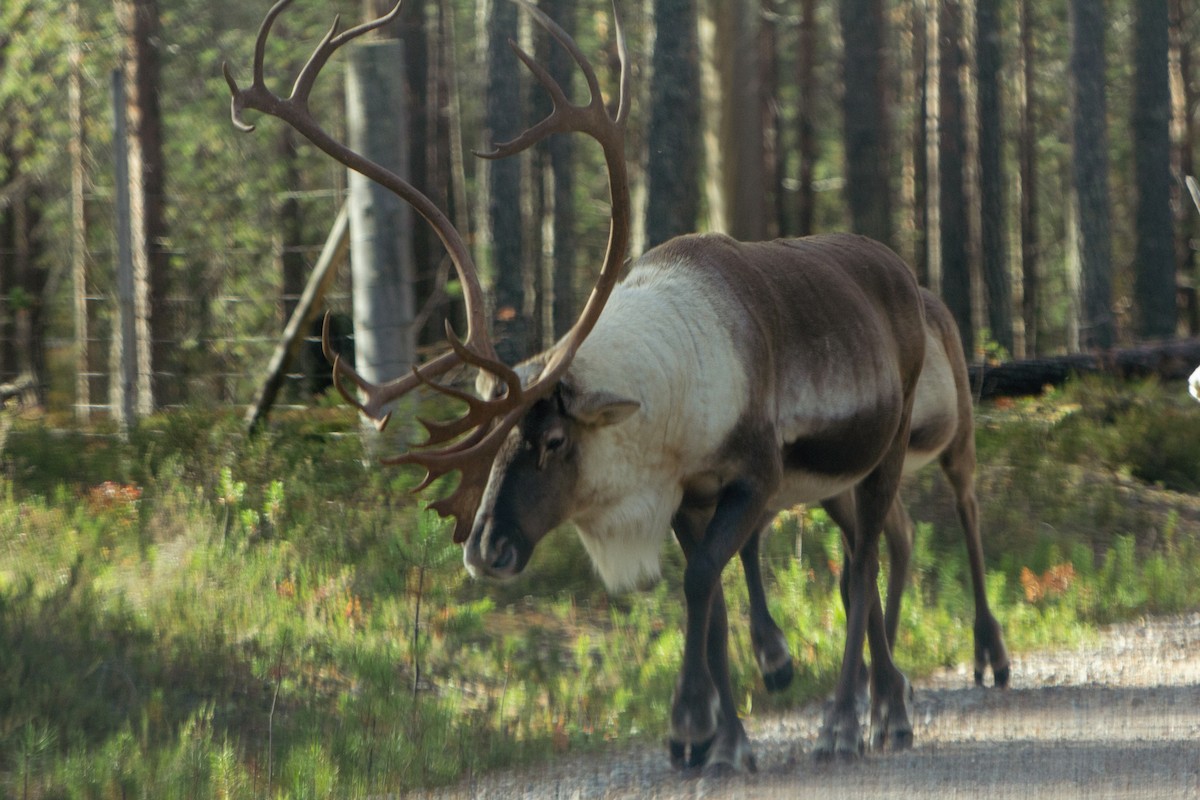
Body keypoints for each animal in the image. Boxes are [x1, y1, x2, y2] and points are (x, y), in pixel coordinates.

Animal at [225, 0, 1007, 772]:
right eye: (495, 445)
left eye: (553, 440)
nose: (485, 551)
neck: (668, 418)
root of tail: (901, 271)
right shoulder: (691, 498)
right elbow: (711, 603)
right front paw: (726, 739)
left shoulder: (753, 474)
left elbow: (702, 582)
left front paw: (692, 727)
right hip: (834, 481)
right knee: (873, 558)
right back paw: (888, 707)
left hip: (890, 449)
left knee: (871, 560)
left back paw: (858, 718)